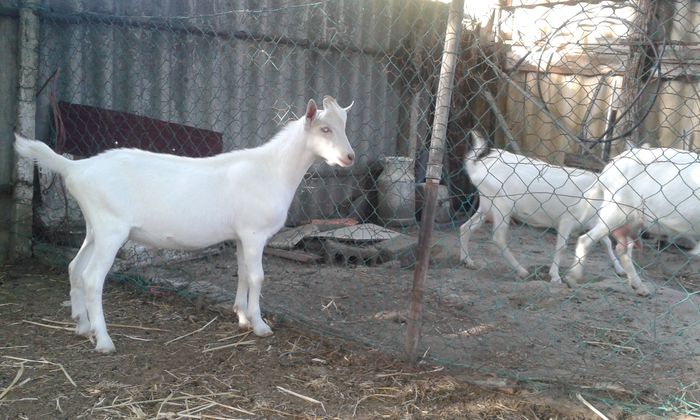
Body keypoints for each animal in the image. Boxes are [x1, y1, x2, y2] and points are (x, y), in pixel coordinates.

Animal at [15, 95, 356, 352]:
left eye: (344, 125)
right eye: (325, 129)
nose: (350, 157)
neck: (272, 170)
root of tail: (76, 168)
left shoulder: (241, 235)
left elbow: (243, 274)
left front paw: (242, 317)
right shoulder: (255, 233)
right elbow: (257, 277)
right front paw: (260, 325)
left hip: (94, 227)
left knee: (74, 266)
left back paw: (83, 327)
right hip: (112, 229)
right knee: (91, 278)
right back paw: (104, 341)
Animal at [460, 130, 624, 284]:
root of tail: (477, 167)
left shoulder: (592, 221)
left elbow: (606, 242)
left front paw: (620, 270)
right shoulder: (567, 219)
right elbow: (562, 247)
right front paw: (555, 277)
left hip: (487, 205)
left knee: (466, 227)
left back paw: (467, 261)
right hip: (502, 205)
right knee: (498, 238)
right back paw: (522, 271)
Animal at [568, 146, 700, 296]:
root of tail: (607, 170)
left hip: (634, 221)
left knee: (623, 249)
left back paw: (639, 288)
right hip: (617, 210)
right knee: (586, 239)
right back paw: (572, 278)